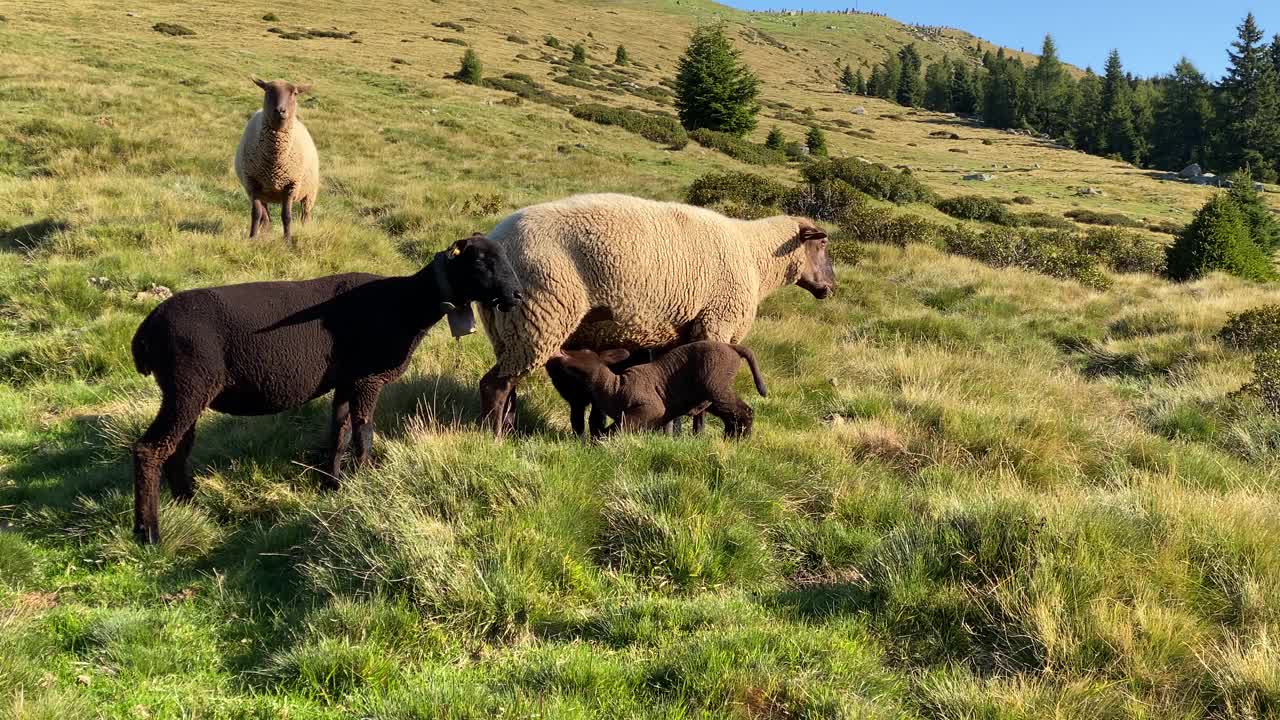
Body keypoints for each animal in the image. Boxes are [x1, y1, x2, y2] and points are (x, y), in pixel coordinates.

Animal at [238, 77, 322, 242]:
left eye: (295, 93)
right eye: (268, 90)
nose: (280, 111)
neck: (274, 160)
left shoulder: (291, 186)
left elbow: (287, 216)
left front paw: (287, 240)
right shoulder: (253, 184)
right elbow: (256, 214)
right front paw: (252, 238)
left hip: (310, 193)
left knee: (305, 215)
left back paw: (305, 229)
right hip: (262, 193)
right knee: (265, 216)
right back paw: (264, 231)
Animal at [547, 338, 768, 435]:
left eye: (584, 351)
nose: (560, 350)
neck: (613, 388)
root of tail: (733, 348)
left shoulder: (652, 407)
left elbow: (618, 426)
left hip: (716, 384)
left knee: (745, 412)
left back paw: (740, 442)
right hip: (711, 391)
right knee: (731, 417)